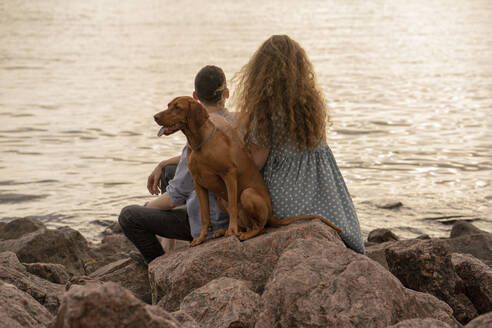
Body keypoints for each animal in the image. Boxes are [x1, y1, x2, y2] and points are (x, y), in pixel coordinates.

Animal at [154, 96, 342, 246]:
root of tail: (272, 214)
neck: (200, 145)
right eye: (168, 105)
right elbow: (204, 216)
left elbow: (233, 208)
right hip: (221, 200)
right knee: (248, 224)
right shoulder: (198, 183)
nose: (155, 116)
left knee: (260, 227)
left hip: (247, 193)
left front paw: (231, 230)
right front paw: (201, 238)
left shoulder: (229, 175)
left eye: (177, 107)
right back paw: (223, 231)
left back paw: (241, 233)